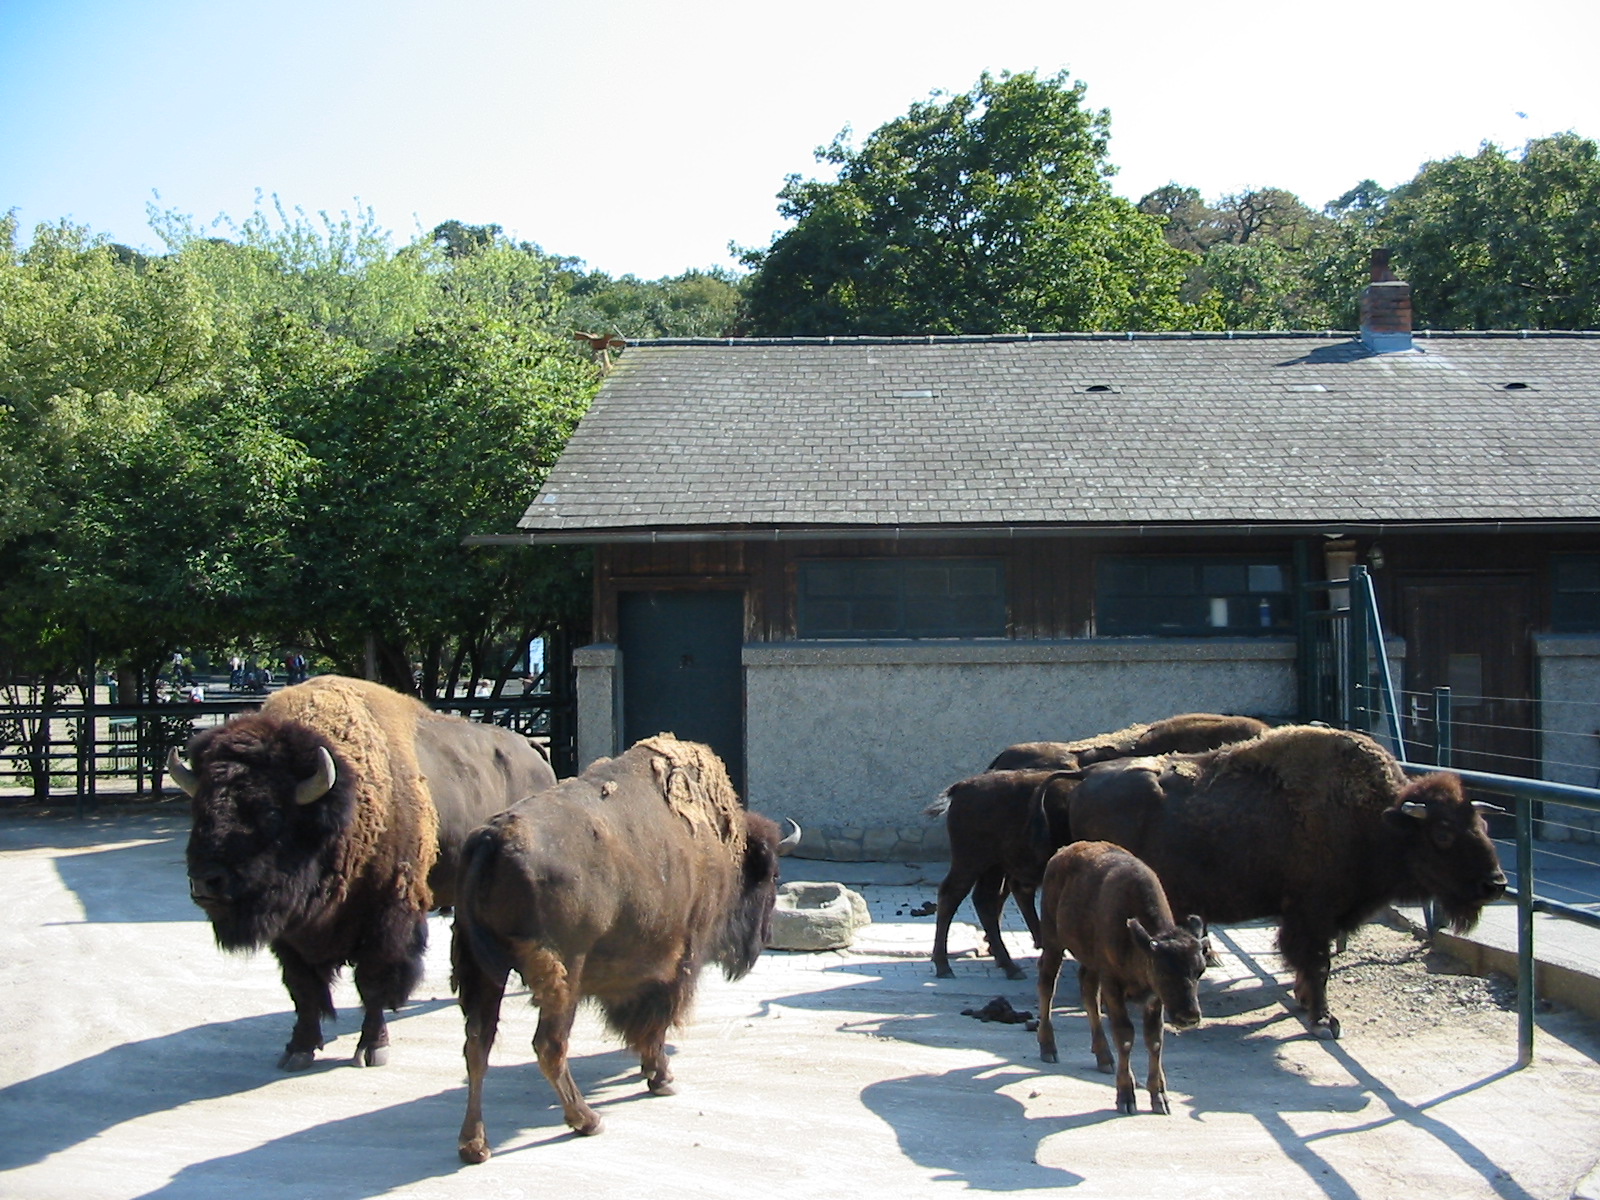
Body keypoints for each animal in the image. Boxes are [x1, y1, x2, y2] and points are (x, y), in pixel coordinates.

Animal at [173, 675, 556, 1069]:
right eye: (200, 809)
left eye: (270, 813)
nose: (206, 881)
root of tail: (534, 752)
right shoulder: (292, 931)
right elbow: (303, 988)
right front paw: (299, 1049)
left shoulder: (385, 916)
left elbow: (372, 982)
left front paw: (372, 1049)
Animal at [452, 734, 799, 1164]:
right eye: (772, 876)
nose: (763, 938)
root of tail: (492, 840)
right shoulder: (677, 963)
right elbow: (656, 1023)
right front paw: (661, 1077)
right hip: (562, 974)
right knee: (548, 1045)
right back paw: (587, 1120)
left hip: (481, 969)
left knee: (477, 1045)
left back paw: (474, 1145)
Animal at [1036, 841, 1207, 1115]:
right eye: (1163, 970)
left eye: (1200, 970)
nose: (1189, 1017)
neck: (1140, 945)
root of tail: (1062, 851)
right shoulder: (1113, 985)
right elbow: (1125, 1035)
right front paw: (1126, 1097)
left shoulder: (1153, 998)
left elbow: (1154, 1040)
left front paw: (1160, 1098)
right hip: (1053, 941)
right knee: (1047, 985)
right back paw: (1048, 1048)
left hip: (1089, 961)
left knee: (1087, 991)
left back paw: (1104, 1057)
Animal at [1050, 725, 1507, 1037]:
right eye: (1443, 833)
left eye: (1482, 826)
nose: (1496, 884)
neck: (1378, 818)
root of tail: (1086, 776)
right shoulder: (1312, 913)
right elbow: (1317, 963)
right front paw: (1324, 1019)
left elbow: (1311, 965)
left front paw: (1306, 1003)